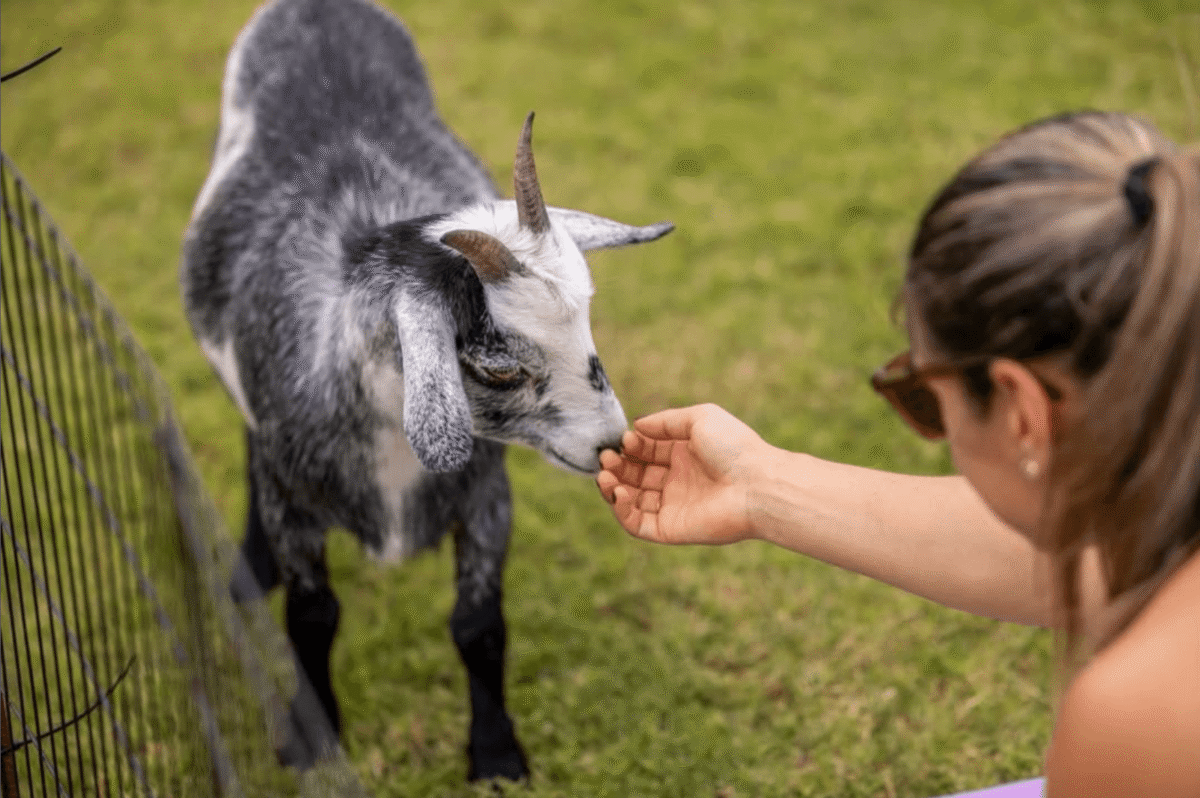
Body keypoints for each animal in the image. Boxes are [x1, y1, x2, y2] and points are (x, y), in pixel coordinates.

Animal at [180, 0, 672, 781]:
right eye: (498, 367)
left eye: (589, 320)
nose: (611, 443)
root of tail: (316, 8)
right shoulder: (296, 503)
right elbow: (311, 620)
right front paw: (311, 740)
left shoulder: (486, 494)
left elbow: (478, 624)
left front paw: (496, 753)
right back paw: (247, 569)